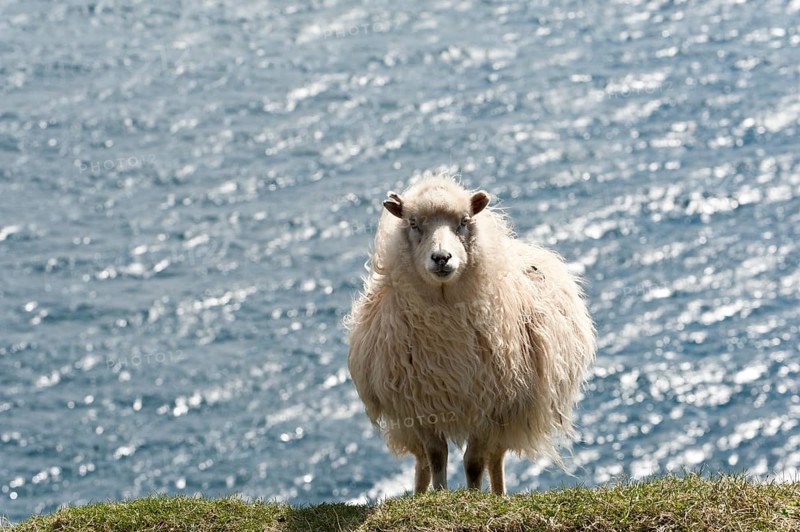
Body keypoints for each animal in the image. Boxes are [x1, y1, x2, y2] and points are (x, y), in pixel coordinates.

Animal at [345, 175, 596, 495]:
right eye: (413, 223)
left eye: (463, 221)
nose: (441, 258)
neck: (445, 320)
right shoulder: (422, 405)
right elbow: (436, 456)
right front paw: (439, 493)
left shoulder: (488, 405)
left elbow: (474, 463)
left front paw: (474, 495)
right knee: (421, 462)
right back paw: (419, 493)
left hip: (508, 415)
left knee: (495, 458)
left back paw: (499, 494)